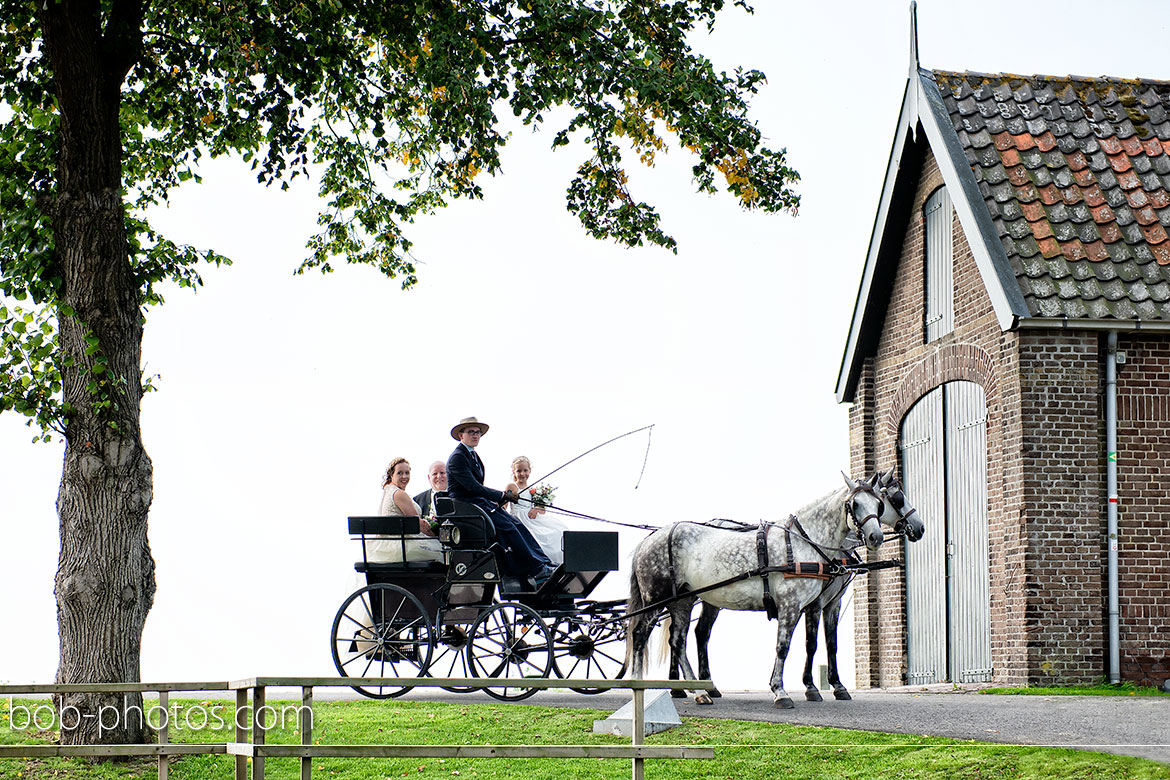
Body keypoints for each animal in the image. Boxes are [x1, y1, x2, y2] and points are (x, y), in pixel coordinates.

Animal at [631, 472, 893, 711]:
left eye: (878, 504)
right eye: (854, 504)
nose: (876, 537)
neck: (803, 543)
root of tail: (649, 539)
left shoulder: (813, 605)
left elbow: (817, 644)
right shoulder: (792, 604)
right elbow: (784, 646)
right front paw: (781, 691)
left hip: (682, 601)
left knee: (678, 641)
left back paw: (700, 692)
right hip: (656, 599)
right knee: (640, 634)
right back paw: (639, 684)